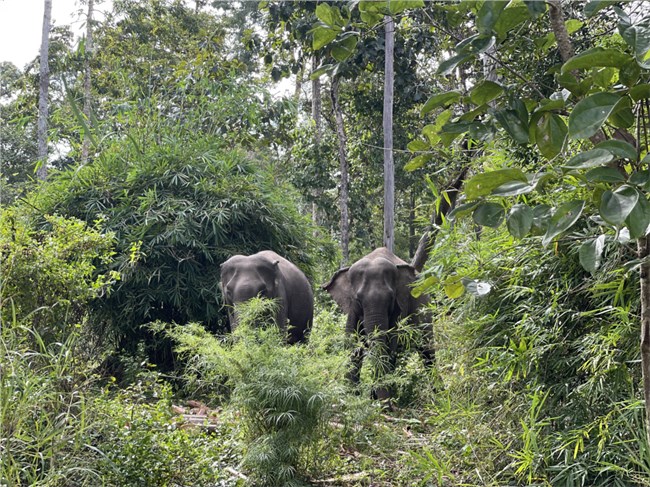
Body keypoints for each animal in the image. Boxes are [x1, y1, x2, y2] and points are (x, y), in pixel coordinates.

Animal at [322, 248, 432, 400]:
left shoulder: (399, 308)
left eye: (391, 298)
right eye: (358, 299)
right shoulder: (352, 311)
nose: (389, 404)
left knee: (427, 351)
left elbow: (389, 346)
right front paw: (351, 397)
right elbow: (352, 346)